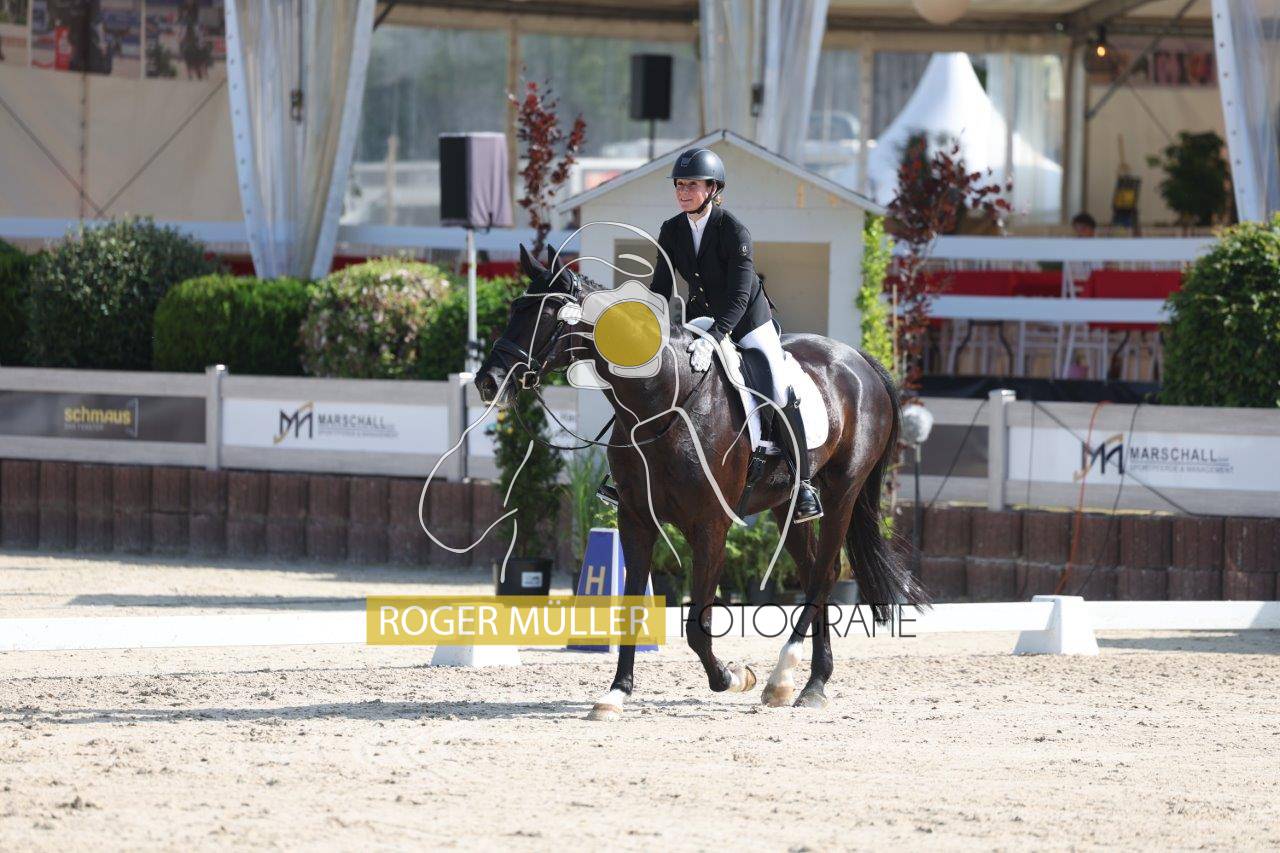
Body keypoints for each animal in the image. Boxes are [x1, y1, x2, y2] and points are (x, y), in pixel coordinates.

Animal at [475, 244, 929, 719]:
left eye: (543, 314)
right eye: (515, 308)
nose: (488, 381)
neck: (663, 403)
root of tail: (859, 360)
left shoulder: (711, 525)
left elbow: (697, 624)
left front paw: (732, 677)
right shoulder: (635, 520)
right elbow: (632, 609)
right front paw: (616, 693)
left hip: (843, 490)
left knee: (825, 574)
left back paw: (784, 677)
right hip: (786, 504)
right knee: (812, 576)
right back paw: (809, 683)